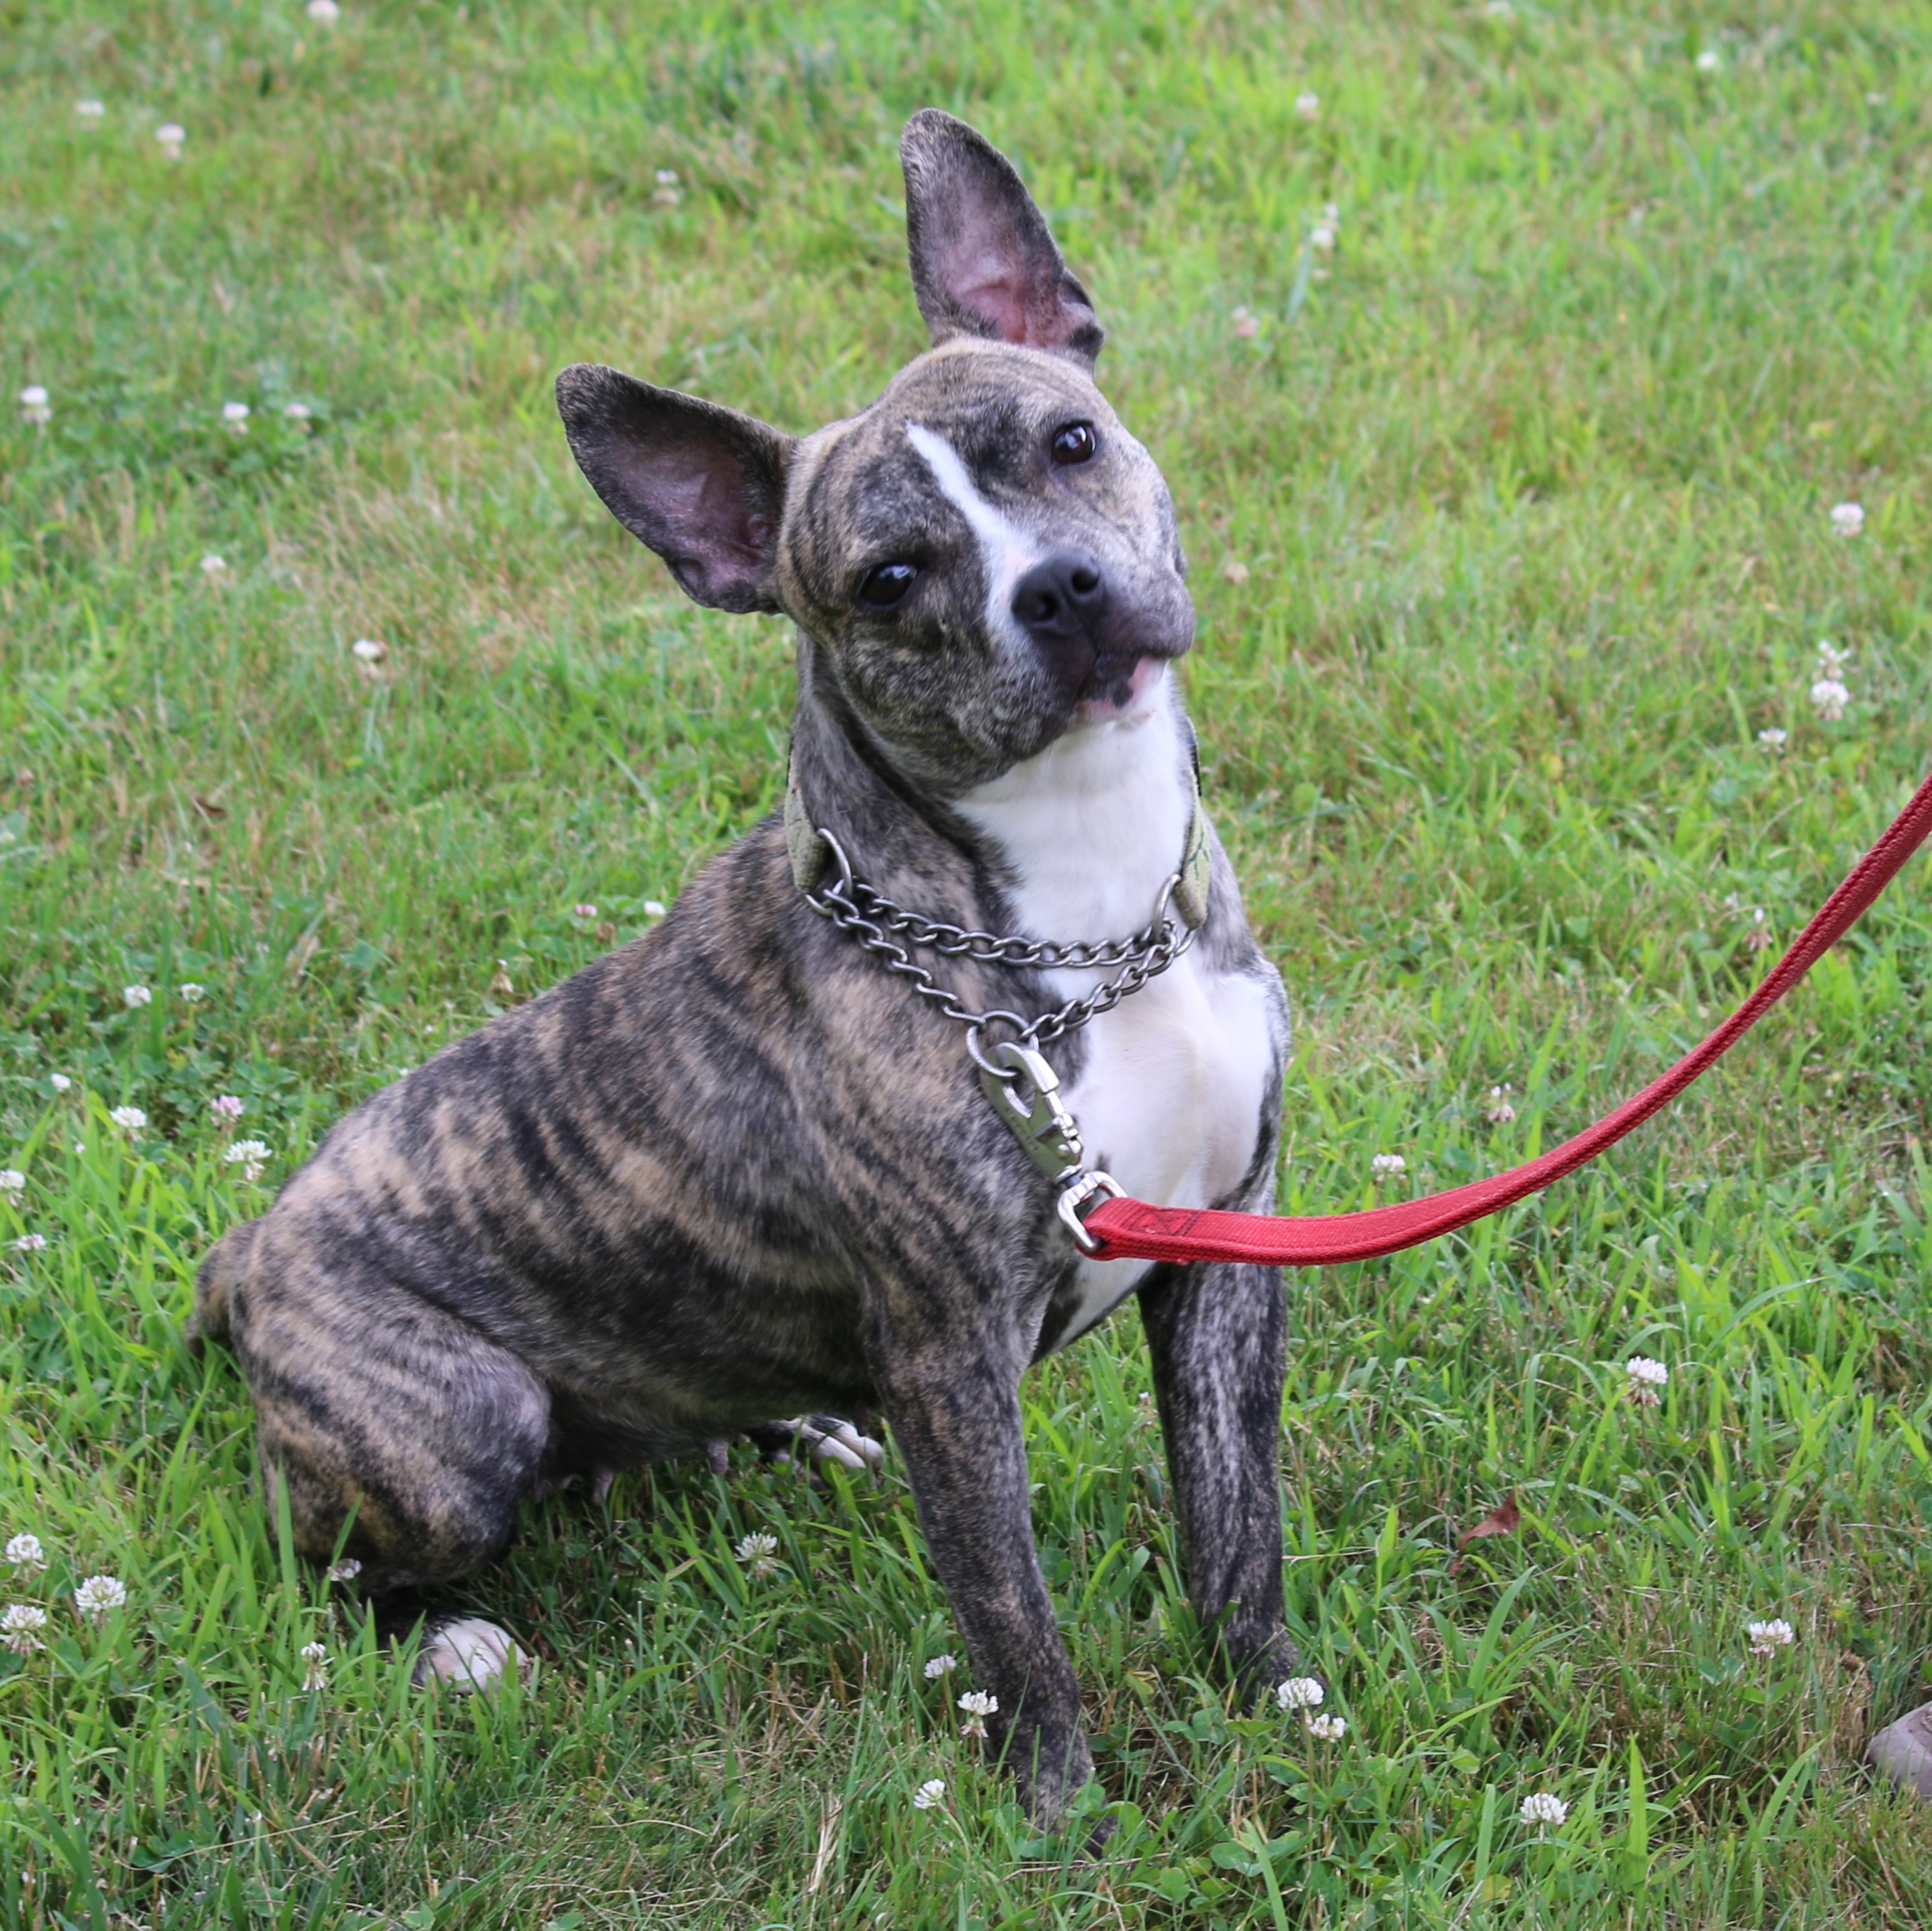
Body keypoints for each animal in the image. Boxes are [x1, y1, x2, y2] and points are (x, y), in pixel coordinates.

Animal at [192, 105, 1298, 1823]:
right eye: (890, 582)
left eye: (1066, 443)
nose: (1054, 587)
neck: (1078, 911)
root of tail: (252, 1249)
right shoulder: (950, 1365)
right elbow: (1013, 1614)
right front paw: (1057, 1810)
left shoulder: (1227, 1251)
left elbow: (1235, 1527)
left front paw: (1284, 1710)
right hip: (453, 1430)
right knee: (341, 1568)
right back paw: (453, 1642)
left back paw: (801, 1436)